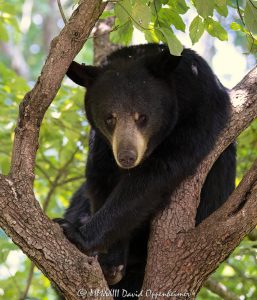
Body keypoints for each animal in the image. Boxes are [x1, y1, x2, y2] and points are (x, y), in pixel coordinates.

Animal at [55, 43, 235, 298]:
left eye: (142, 117)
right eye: (110, 118)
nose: (127, 156)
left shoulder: (199, 108)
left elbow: (154, 177)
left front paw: (78, 235)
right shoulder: (102, 143)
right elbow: (100, 179)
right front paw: (111, 262)